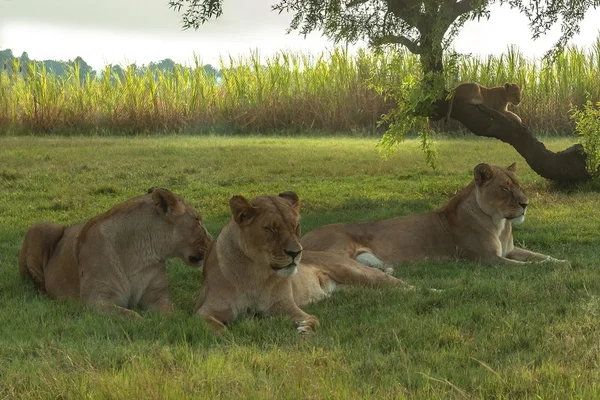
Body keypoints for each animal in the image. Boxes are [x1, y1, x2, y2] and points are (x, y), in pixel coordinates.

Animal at [18, 188, 212, 318]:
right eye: (198, 220)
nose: (212, 242)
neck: (140, 255)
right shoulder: (95, 300)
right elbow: (131, 316)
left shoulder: (158, 295)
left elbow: (170, 312)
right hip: (40, 228)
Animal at [195, 191, 410, 334]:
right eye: (271, 229)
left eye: (296, 226)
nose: (296, 252)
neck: (255, 272)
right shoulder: (204, 311)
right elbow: (217, 328)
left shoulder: (285, 307)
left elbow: (313, 318)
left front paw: (306, 328)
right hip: (359, 289)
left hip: (361, 274)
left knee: (404, 285)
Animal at [302, 162, 568, 268]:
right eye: (505, 188)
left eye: (519, 185)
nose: (526, 204)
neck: (500, 224)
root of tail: (303, 236)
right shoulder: (486, 258)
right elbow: (528, 266)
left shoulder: (510, 250)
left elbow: (541, 256)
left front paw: (563, 262)